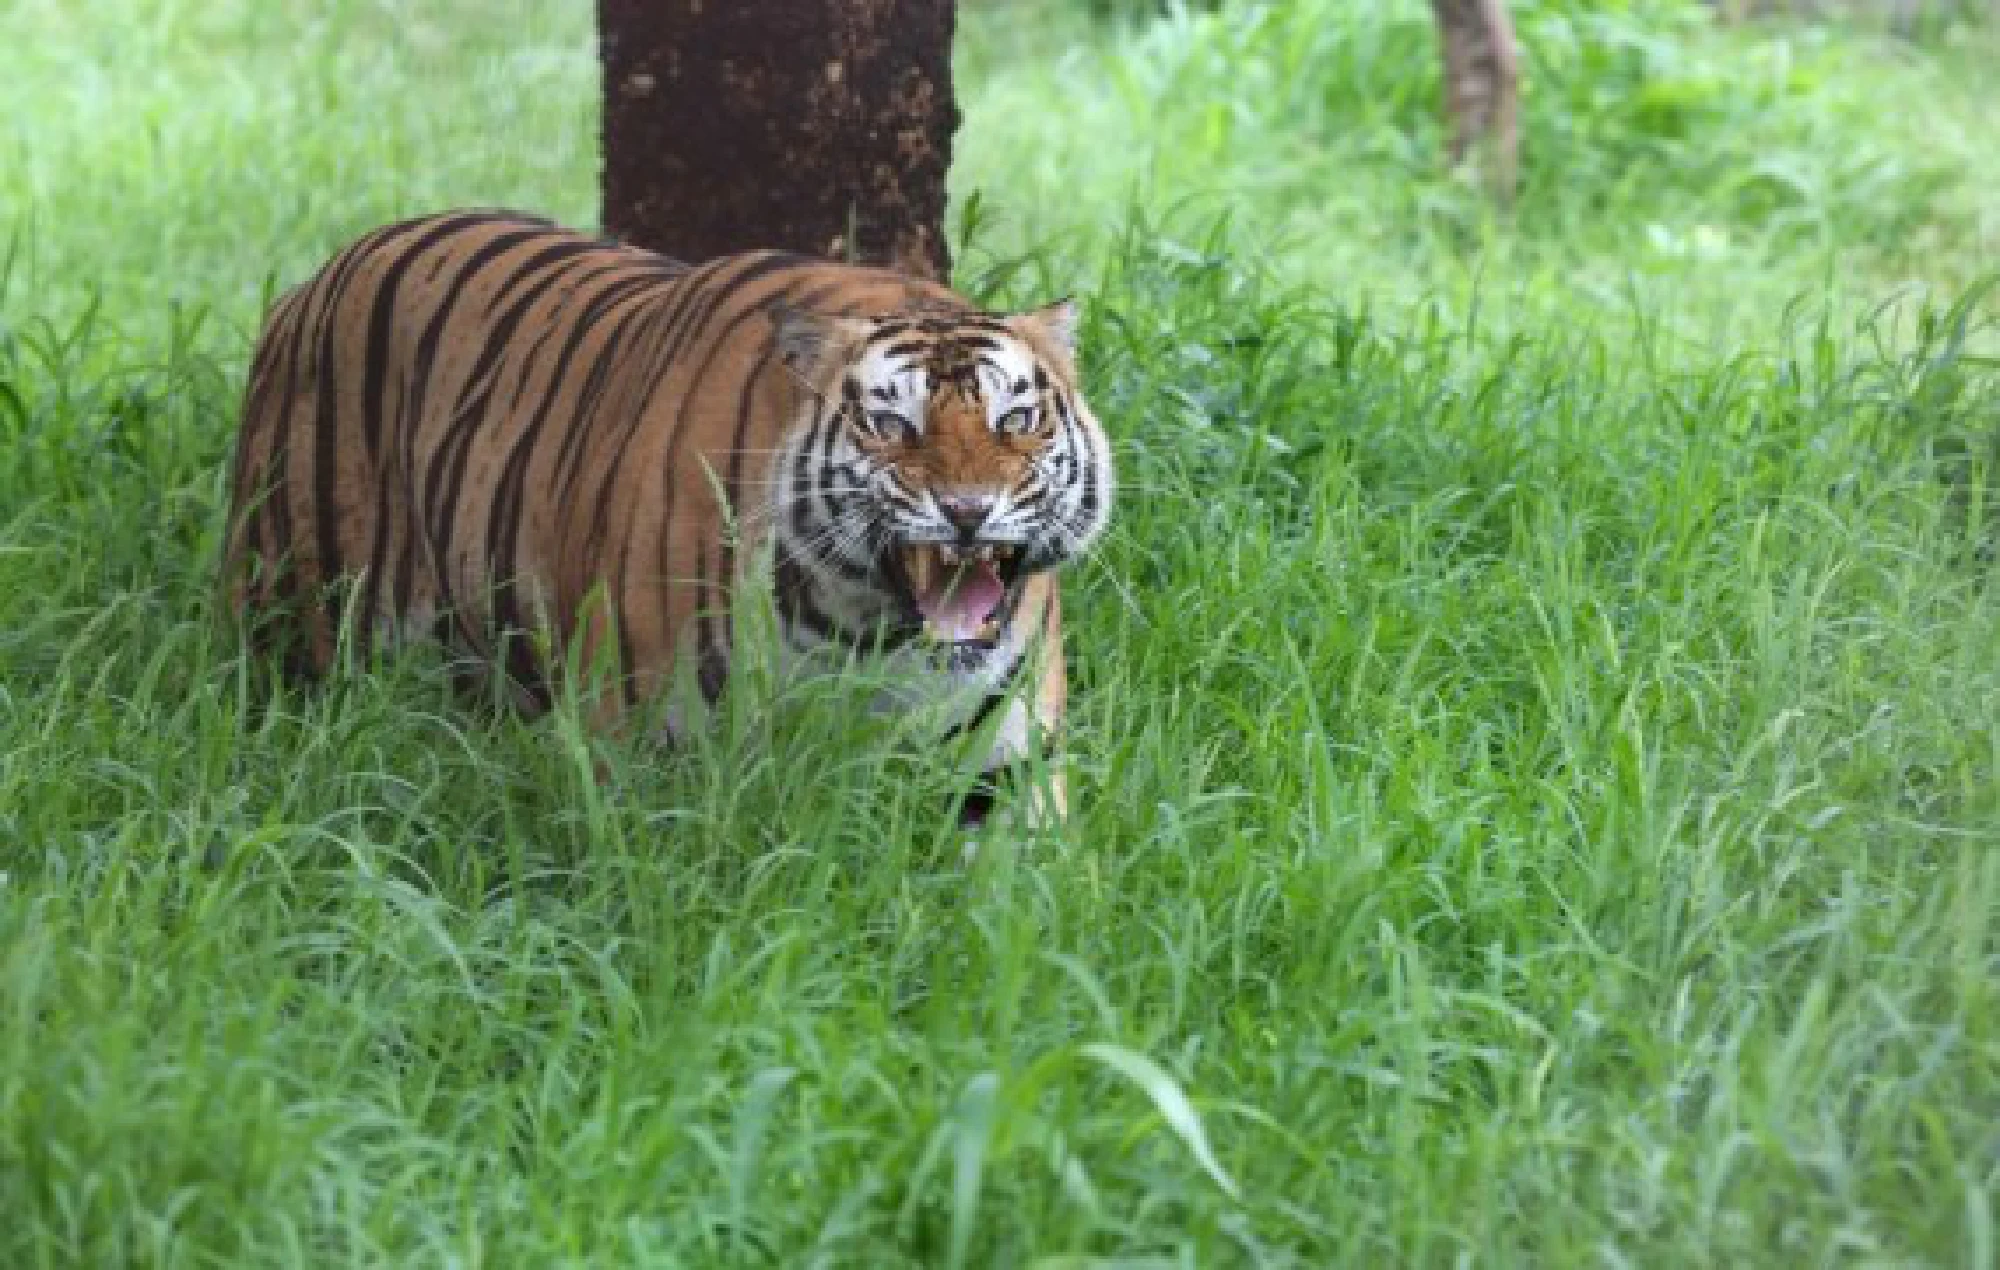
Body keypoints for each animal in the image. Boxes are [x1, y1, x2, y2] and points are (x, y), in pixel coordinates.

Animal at [222, 210, 1114, 823]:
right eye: (891, 425)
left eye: (1016, 420)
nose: (968, 512)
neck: (865, 630)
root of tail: (311, 281)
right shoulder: (631, 746)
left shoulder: (1007, 774)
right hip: (291, 626)